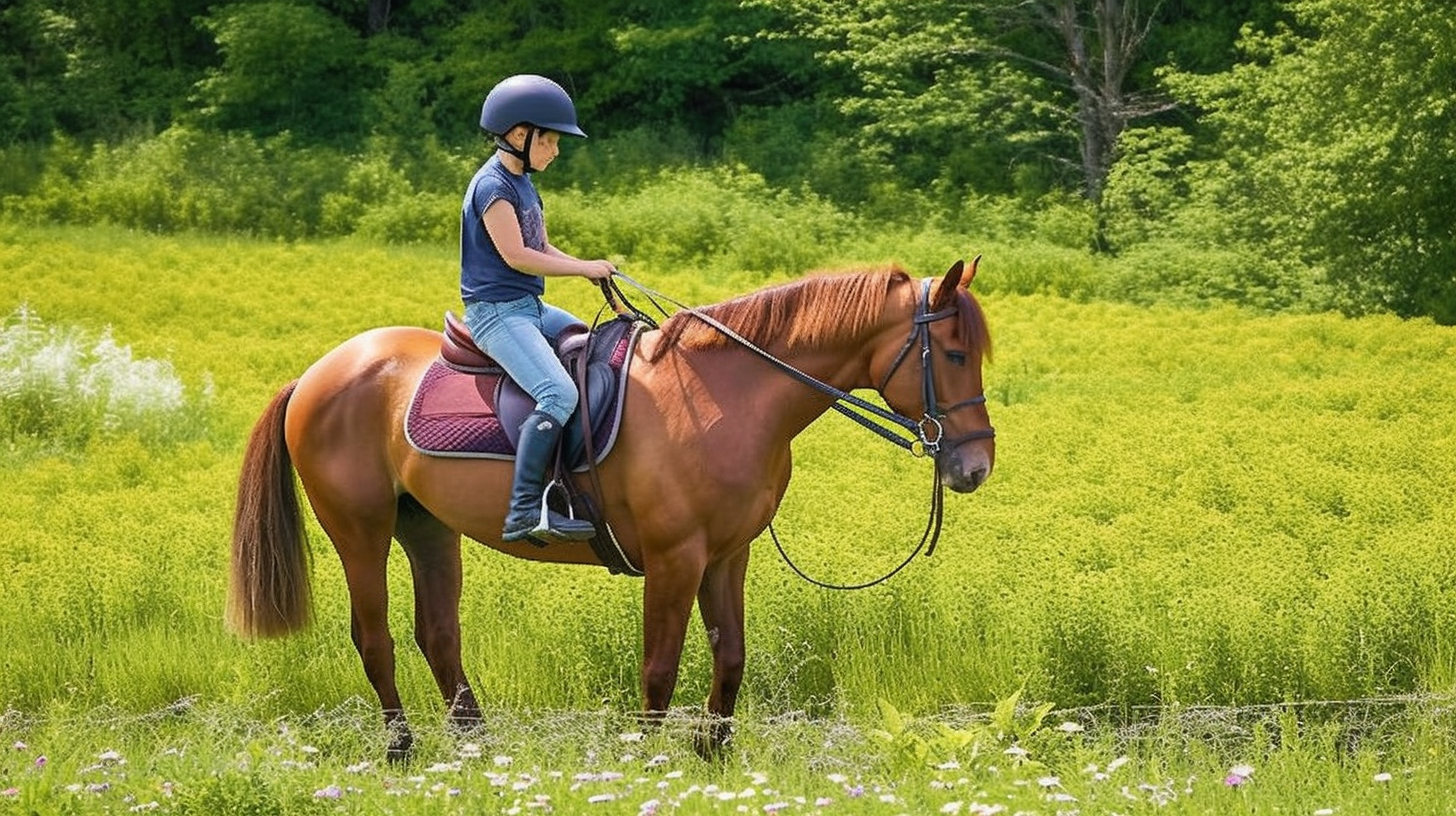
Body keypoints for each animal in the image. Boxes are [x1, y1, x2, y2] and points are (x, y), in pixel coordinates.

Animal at [230, 259, 1001, 757]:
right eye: (953, 353)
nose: (975, 466)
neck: (729, 392)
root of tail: (320, 372)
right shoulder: (675, 557)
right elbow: (660, 664)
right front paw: (650, 761)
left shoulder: (728, 554)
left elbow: (730, 656)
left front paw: (714, 757)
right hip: (360, 531)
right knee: (375, 638)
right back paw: (401, 750)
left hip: (428, 530)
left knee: (438, 635)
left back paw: (479, 748)